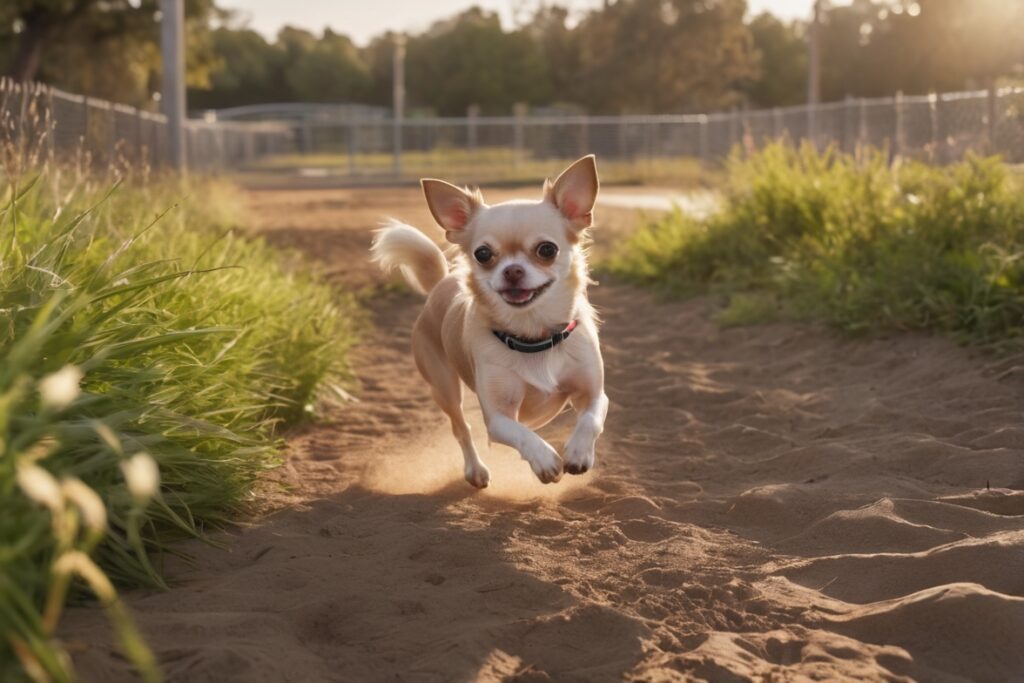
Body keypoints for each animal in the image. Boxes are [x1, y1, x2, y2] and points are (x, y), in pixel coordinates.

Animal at [370, 156, 602, 485]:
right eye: (482, 254)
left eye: (547, 249)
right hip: (444, 388)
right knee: (462, 429)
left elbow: (591, 419)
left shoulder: (593, 393)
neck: (533, 336)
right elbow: (521, 434)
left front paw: (579, 452)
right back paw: (475, 470)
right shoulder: (498, 417)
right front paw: (544, 459)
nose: (512, 270)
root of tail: (442, 282)